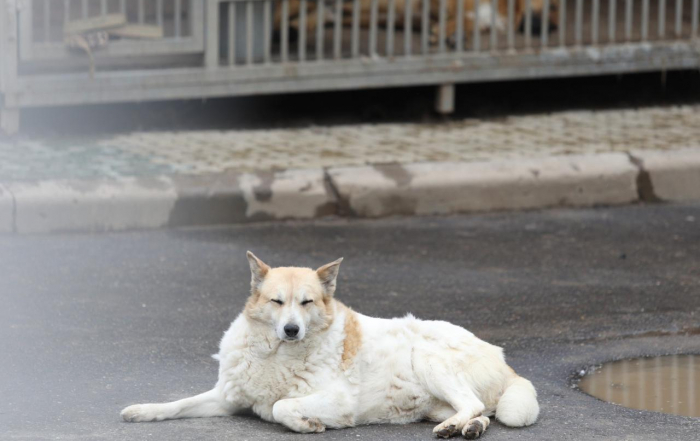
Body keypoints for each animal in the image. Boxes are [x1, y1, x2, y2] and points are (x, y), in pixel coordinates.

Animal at [120, 251, 540, 436]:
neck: (276, 354)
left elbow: (282, 406)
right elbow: (178, 404)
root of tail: (502, 357)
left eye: (307, 302)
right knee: (479, 411)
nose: (291, 330)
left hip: (428, 358)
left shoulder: (336, 399)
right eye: (277, 302)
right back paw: (469, 428)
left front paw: (305, 423)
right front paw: (143, 411)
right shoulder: (225, 398)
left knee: (471, 404)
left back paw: (455, 427)